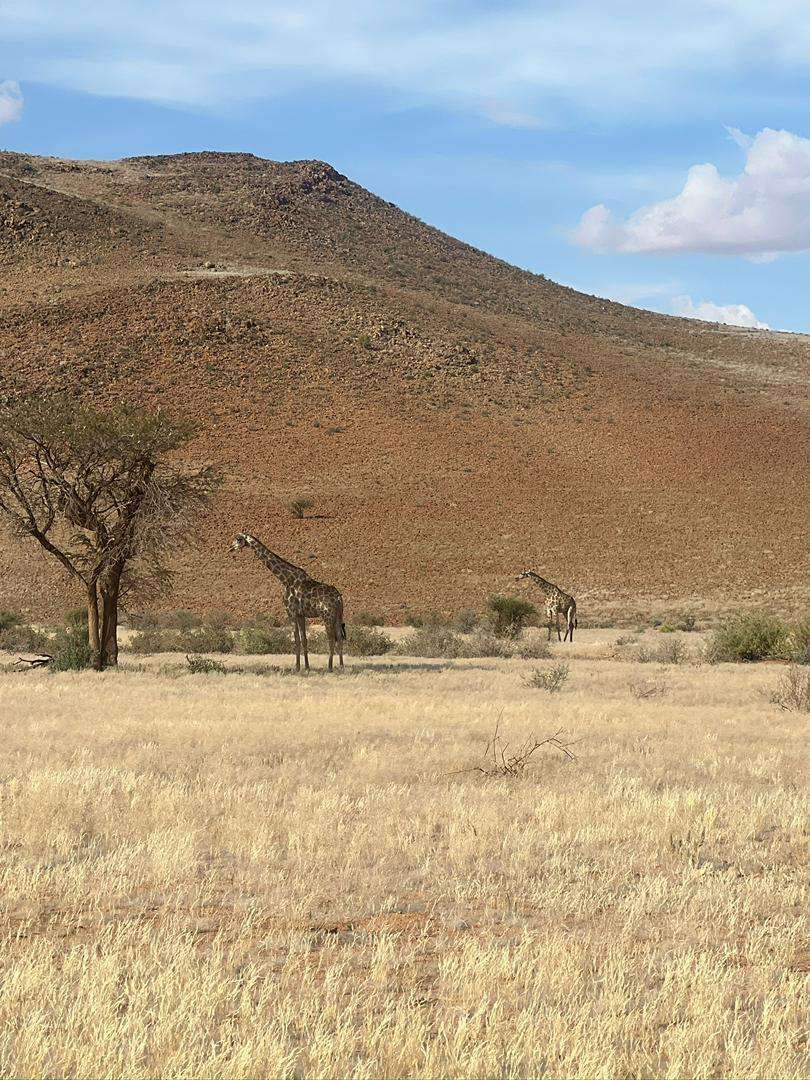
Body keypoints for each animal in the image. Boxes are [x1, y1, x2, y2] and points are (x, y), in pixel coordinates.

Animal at [230, 533, 346, 671]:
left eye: (238, 539)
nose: (230, 548)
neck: (286, 580)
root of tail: (338, 597)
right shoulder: (301, 615)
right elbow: (304, 639)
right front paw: (307, 667)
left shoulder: (291, 612)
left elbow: (296, 639)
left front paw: (297, 667)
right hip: (338, 615)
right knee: (339, 637)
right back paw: (341, 666)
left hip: (327, 615)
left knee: (331, 639)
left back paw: (330, 667)